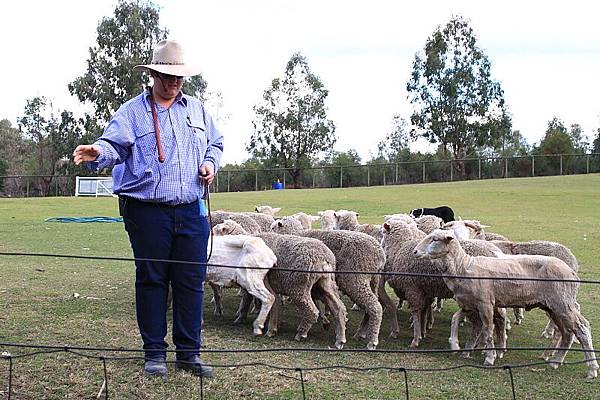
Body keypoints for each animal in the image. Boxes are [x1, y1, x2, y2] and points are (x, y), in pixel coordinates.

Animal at [272, 216, 384, 350]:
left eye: (273, 227)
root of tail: (380, 254)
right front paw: (324, 319)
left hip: (355, 279)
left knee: (375, 306)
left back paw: (372, 341)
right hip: (373, 280)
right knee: (371, 306)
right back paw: (360, 333)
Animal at [414, 228, 596, 378]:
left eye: (434, 239)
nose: (415, 251)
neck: (463, 266)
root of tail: (572, 272)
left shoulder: (485, 303)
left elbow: (488, 330)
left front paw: (490, 357)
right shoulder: (470, 304)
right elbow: (455, 318)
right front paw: (455, 345)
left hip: (563, 303)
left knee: (582, 328)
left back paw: (591, 369)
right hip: (553, 307)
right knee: (567, 332)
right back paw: (555, 361)